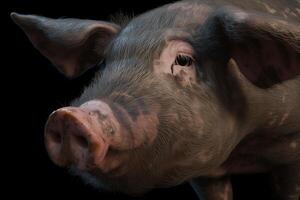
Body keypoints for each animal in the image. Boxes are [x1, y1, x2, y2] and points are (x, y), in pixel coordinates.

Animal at [9, 0, 300, 199]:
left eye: (183, 60)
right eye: (105, 62)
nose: (68, 116)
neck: (243, 151)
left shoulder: (290, 148)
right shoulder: (207, 173)